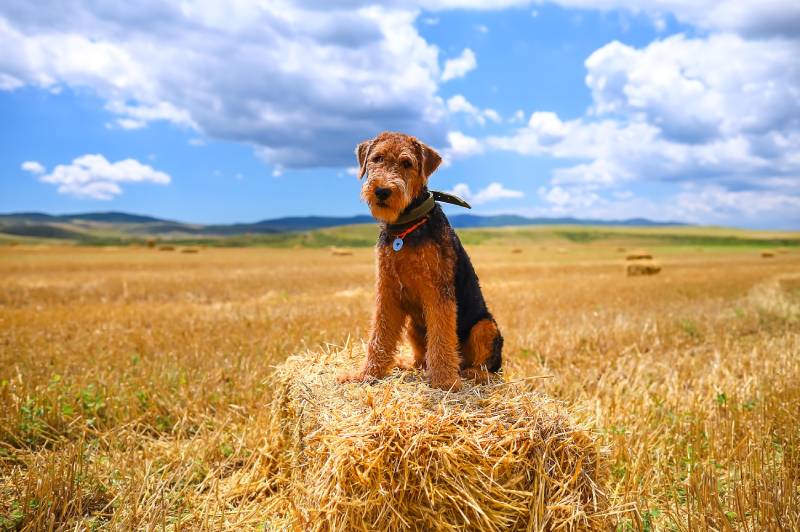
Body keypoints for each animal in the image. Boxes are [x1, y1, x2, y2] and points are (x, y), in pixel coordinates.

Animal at [336, 132, 500, 390]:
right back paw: (407, 363)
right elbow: (379, 336)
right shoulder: (387, 290)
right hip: (414, 326)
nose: (382, 191)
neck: (405, 227)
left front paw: (444, 382)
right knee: (422, 358)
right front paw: (366, 375)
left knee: (488, 368)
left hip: (484, 327)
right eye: (377, 158)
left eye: (407, 163)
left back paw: (467, 374)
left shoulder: (438, 292)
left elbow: (441, 338)